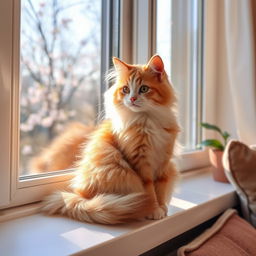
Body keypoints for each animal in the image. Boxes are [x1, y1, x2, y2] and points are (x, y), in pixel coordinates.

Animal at [42, 55, 179, 223]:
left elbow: (160, 189)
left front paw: (162, 208)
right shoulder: (140, 164)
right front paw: (154, 209)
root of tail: (80, 198)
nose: (132, 99)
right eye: (125, 89)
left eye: (144, 89)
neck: (147, 120)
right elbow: (150, 191)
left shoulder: (164, 162)